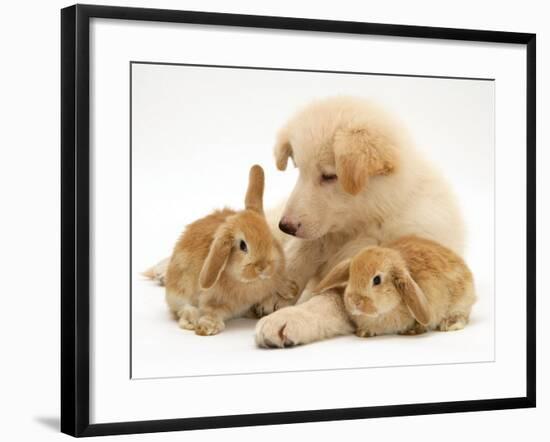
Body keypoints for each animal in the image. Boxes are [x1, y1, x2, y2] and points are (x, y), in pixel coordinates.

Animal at [166, 165, 300, 334]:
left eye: (270, 235)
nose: (262, 267)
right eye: (242, 245)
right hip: (178, 293)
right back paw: (191, 320)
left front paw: (292, 288)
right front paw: (207, 327)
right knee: (183, 309)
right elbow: (211, 310)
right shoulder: (212, 300)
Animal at [314, 237, 478, 336]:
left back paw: (449, 324)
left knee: (462, 315)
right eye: (350, 275)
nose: (355, 301)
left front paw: (413, 330)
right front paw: (364, 332)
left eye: (377, 280)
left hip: (461, 302)